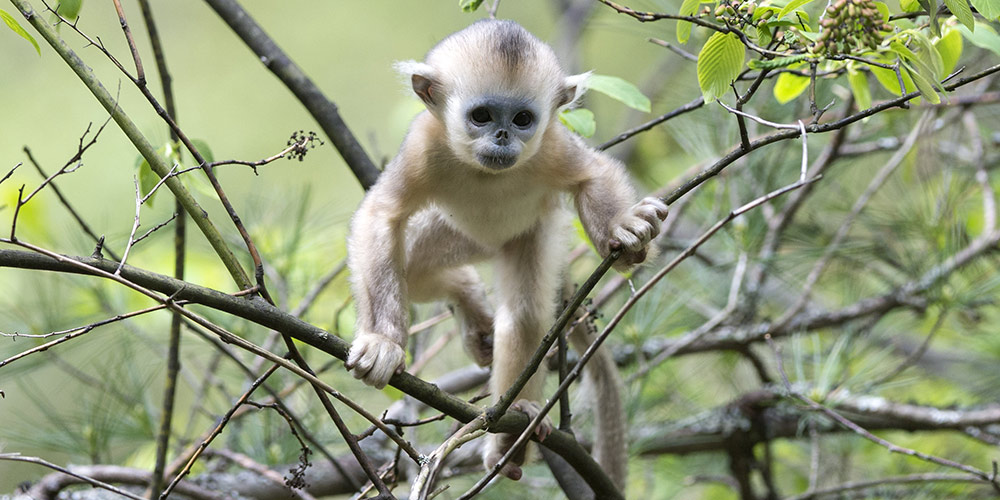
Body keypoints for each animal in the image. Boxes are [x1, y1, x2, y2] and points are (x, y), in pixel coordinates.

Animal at [348, 19, 668, 484]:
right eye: (481, 116)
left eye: (522, 119)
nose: (502, 137)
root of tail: (487, 244)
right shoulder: (423, 147)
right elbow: (381, 215)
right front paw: (382, 343)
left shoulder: (551, 145)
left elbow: (593, 175)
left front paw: (623, 231)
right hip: (450, 233)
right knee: (417, 270)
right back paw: (473, 311)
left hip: (530, 234)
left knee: (524, 312)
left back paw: (513, 424)